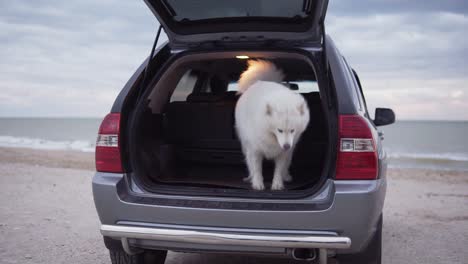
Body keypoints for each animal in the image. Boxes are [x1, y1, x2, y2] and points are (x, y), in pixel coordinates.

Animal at [234, 60, 310, 191]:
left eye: (292, 130)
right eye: (279, 130)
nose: (286, 146)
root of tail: (261, 81)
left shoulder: (283, 153)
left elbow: (279, 169)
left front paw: (277, 184)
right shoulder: (255, 150)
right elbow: (256, 168)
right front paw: (257, 183)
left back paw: (286, 176)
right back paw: (249, 177)